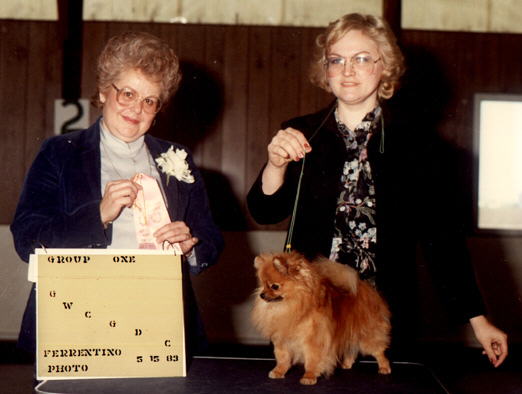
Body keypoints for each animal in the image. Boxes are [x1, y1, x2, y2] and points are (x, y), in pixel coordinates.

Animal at [250, 252, 388, 384]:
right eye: (263, 285)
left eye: (275, 286)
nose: (262, 295)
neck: (291, 305)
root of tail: (364, 288)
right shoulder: (282, 339)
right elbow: (283, 358)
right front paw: (278, 372)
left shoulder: (314, 340)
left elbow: (312, 360)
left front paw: (309, 376)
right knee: (350, 350)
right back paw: (347, 364)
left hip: (367, 337)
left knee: (379, 351)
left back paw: (384, 367)